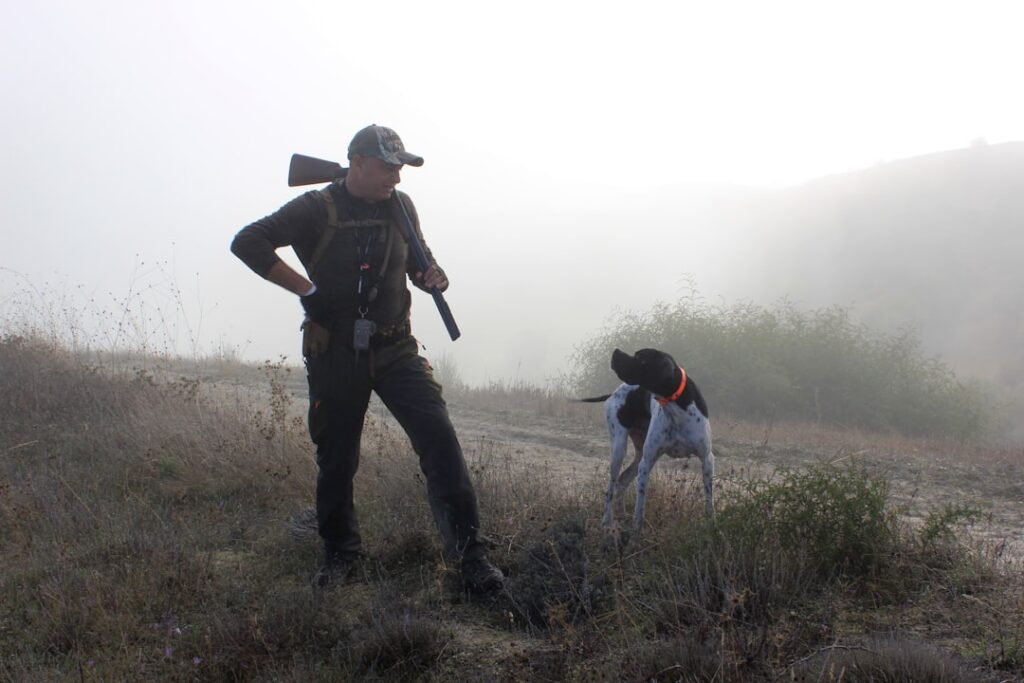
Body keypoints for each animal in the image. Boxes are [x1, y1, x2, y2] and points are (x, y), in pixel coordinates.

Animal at [581, 348, 716, 528]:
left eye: (640, 358)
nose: (616, 351)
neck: (676, 406)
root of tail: (614, 392)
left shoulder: (707, 459)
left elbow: (709, 501)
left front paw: (711, 523)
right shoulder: (646, 463)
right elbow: (639, 508)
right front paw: (636, 531)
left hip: (639, 454)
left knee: (622, 481)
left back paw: (622, 515)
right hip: (619, 449)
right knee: (611, 488)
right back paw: (606, 522)